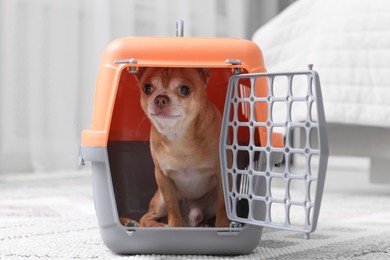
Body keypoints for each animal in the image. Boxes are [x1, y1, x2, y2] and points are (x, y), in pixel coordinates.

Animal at [136, 67, 230, 228]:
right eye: (147, 88)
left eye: (184, 90)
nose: (160, 98)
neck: (178, 136)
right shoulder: (162, 178)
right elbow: (172, 207)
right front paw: (174, 226)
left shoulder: (221, 174)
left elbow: (223, 206)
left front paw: (223, 226)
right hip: (159, 200)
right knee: (145, 218)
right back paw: (159, 225)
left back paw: (205, 225)